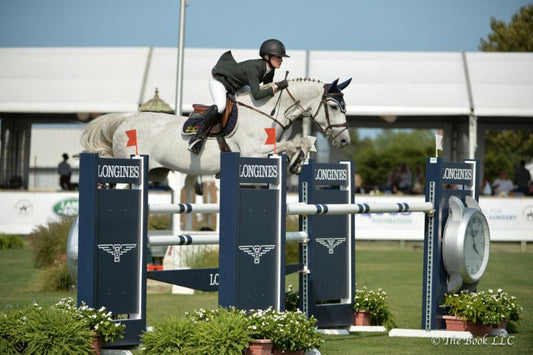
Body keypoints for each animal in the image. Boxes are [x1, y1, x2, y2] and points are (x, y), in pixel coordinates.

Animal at [79, 77, 352, 178]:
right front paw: (298, 155)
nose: (344, 141)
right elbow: (291, 142)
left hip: (156, 172)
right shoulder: (253, 152)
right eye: (334, 107)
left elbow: (296, 143)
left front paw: (298, 161)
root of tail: (126, 119)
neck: (268, 110)